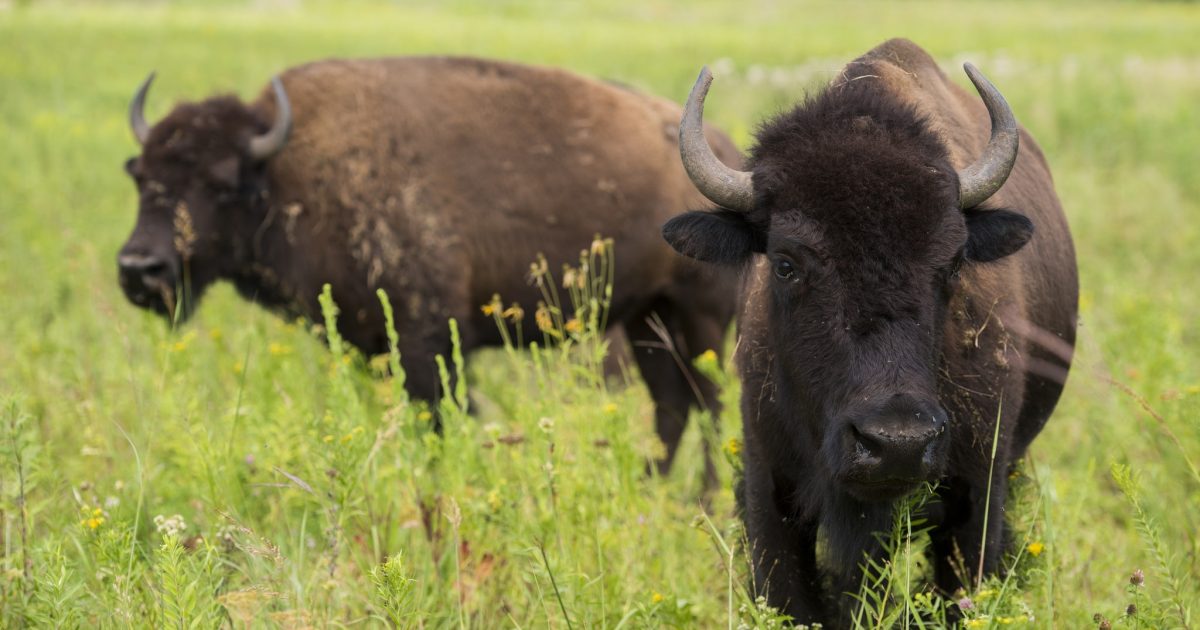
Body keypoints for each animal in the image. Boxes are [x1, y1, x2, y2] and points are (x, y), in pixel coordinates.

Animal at [119, 56, 739, 475]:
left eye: (222, 183)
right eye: (141, 175)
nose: (138, 268)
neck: (290, 172)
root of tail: (725, 148)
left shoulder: (428, 340)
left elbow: (441, 418)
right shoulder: (373, 343)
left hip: (699, 318)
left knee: (710, 404)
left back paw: (697, 501)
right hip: (646, 320)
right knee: (671, 407)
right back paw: (653, 487)